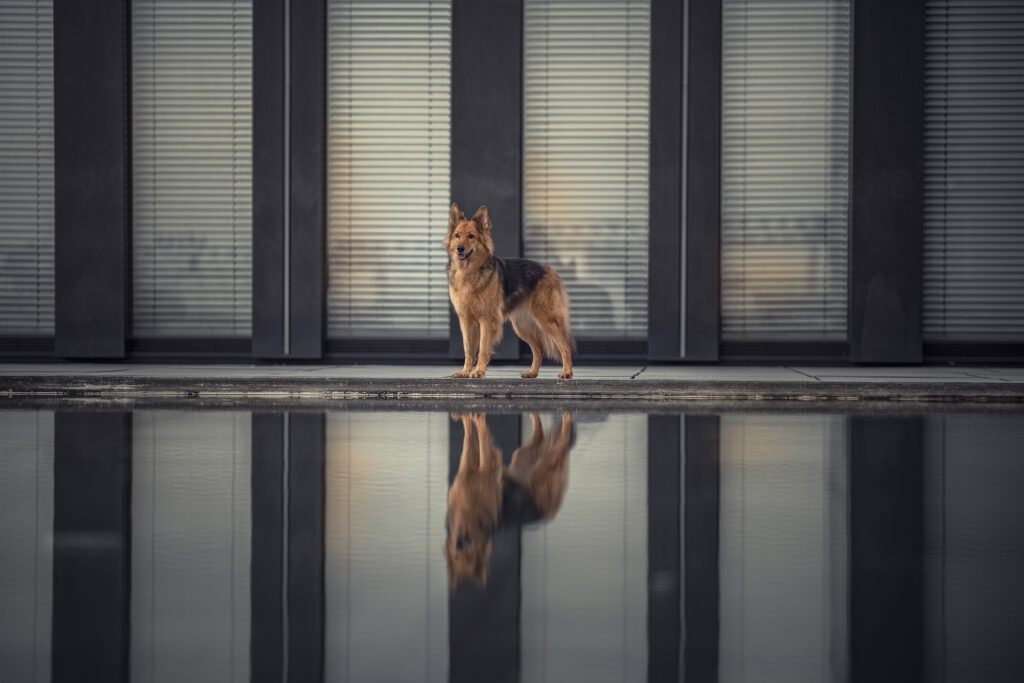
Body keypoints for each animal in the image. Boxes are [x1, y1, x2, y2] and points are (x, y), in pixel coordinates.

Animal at [446, 413, 577, 589]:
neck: (467, 513)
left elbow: (482, 439)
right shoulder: (468, 466)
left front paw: (477, 420)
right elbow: (469, 437)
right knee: (538, 434)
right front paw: (465, 417)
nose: (460, 542)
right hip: (524, 455)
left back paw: (566, 421)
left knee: (562, 438)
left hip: (549, 455)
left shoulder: (489, 466)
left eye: (471, 553)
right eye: (456, 556)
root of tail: (550, 513)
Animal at [448, 202, 577, 378]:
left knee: (564, 346)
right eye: (457, 235)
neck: (470, 272)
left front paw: (479, 371)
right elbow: (468, 349)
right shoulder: (465, 321)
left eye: (471, 236)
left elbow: (482, 349)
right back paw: (532, 373)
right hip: (522, 326)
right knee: (539, 348)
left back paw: (567, 372)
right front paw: (465, 372)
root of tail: (551, 270)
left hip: (547, 320)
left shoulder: (486, 320)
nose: (459, 249)